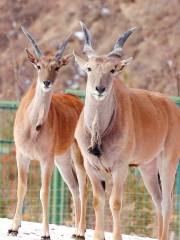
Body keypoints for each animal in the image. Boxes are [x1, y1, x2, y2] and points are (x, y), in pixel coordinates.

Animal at [8, 26, 87, 240]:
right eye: (38, 66)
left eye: (57, 67)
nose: (46, 82)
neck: (33, 127)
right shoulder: (22, 155)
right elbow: (21, 188)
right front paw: (13, 228)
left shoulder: (46, 158)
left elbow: (44, 192)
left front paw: (45, 233)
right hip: (62, 159)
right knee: (74, 186)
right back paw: (75, 231)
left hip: (78, 155)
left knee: (84, 184)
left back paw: (81, 231)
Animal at [74, 21, 180, 240]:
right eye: (89, 68)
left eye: (113, 69)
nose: (99, 89)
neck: (99, 132)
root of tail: (173, 109)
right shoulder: (91, 167)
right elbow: (98, 201)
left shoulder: (120, 167)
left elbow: (115, 202)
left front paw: (116, 236)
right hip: (148, 168)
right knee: (157, 201)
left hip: (168, 163)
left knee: (167, 202)